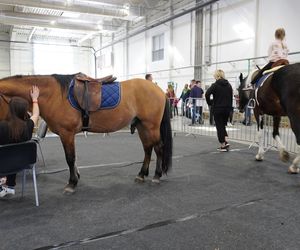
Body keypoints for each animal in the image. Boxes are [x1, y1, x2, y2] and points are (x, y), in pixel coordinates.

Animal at [0, 73, 172, 192]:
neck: (54, 95)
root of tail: (158, 90)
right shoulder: (68, 135)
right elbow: (73, 159)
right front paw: (76, 177)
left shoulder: (67, 134)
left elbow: (70, 158)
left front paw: (72, 183)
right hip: (142, 127)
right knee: (148, 149)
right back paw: (141, 175)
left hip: (151, 126)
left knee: (159, 148)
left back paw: (156, 176)